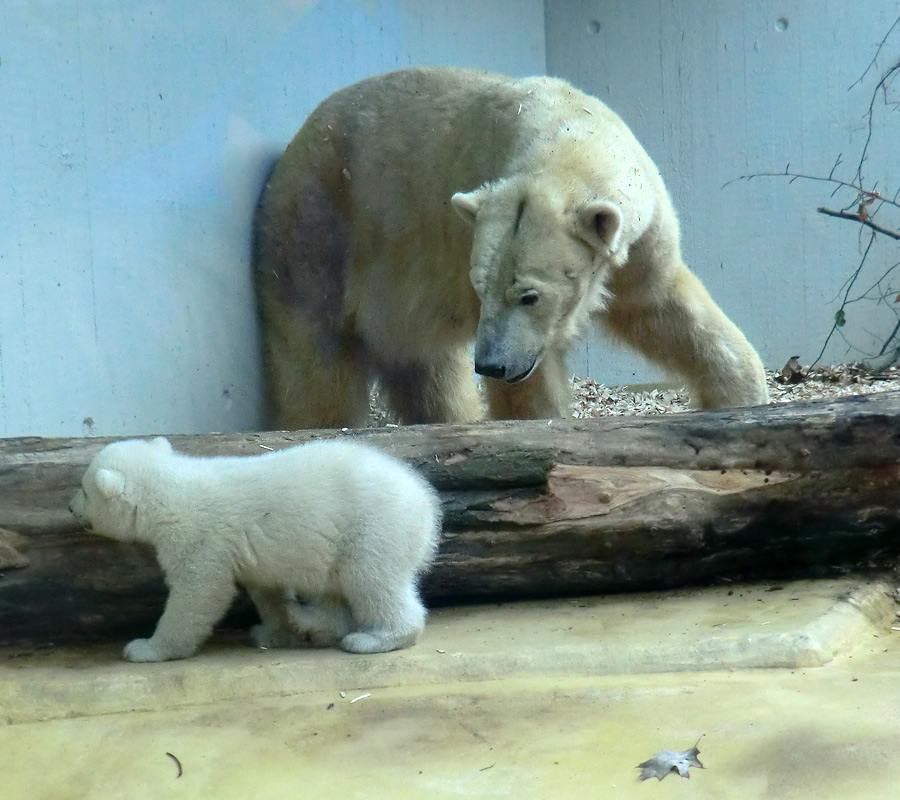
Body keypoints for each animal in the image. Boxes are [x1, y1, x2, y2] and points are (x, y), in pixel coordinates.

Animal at [255, 68, 768, 428]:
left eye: (529, 295)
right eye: (480, 288)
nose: (493, 364)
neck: (567, 131)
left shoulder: (638, 242)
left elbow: (665, 309)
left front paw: (741, 397)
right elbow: (532, 386)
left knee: (431, 373)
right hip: (315, 237)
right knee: (317, 363)